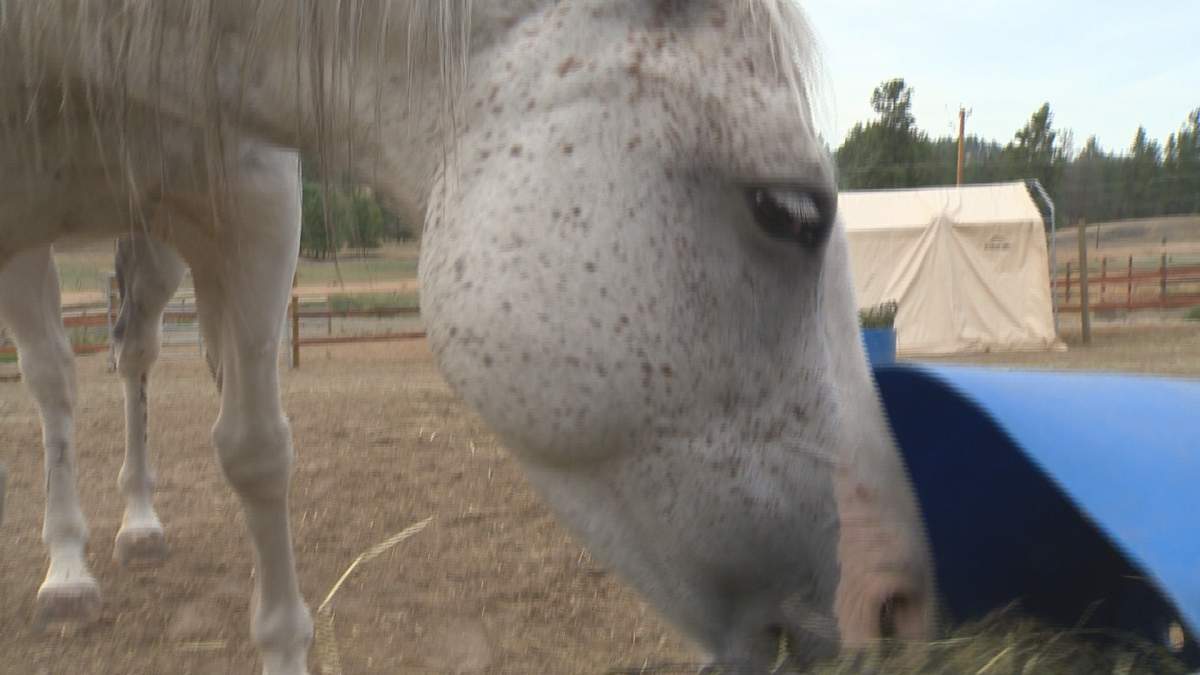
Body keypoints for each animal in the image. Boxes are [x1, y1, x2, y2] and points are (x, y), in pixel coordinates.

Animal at [0, 2, 935, 673]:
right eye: (789, 211)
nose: (898, 604)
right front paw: (67, 569)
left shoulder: (257, 197)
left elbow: (255, 448)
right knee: (61, 378)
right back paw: (73, 567)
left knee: (134, 358)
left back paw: (139, 521)